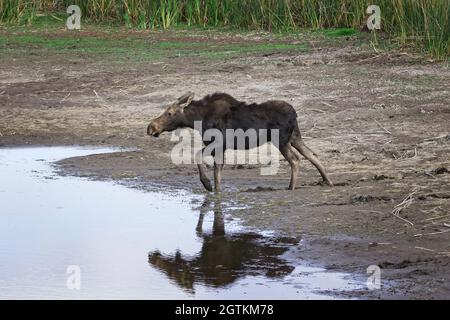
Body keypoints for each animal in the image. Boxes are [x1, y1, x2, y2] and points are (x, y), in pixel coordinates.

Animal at [146, 92, 332, 192]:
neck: (198, 119)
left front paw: (207, 185)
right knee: (311, 155)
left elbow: (199, 157)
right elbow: (217, 171)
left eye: (169, 113)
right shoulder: (220, 147)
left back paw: (291, 187)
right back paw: (327, 181)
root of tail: (295, 113)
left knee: (295, 159)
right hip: (294, 137)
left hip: (281, 140)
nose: (150, 127)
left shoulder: (218, 143)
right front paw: (216, 191)